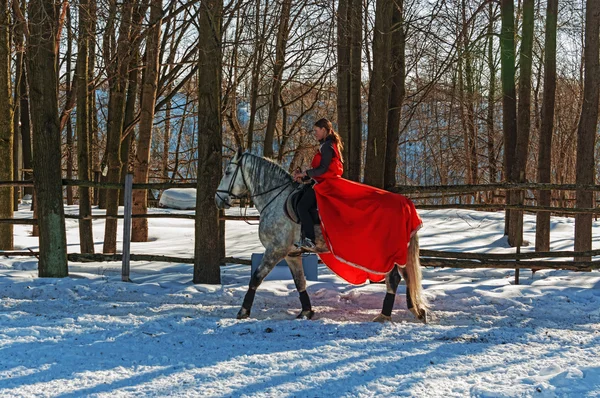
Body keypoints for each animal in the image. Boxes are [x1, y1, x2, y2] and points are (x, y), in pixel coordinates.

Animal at [214, 149, 426, 324]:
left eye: (227, 172)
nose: (218, 199)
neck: (275, 199)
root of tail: (406, 204)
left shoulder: (276, 249)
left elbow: (256, 278)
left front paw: (243, 311)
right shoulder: (291, 254)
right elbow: (300, 282)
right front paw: (306, 312)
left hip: (384, 253)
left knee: (394, 279)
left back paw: (385, 315)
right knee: (406, 277)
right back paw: (415, 311)